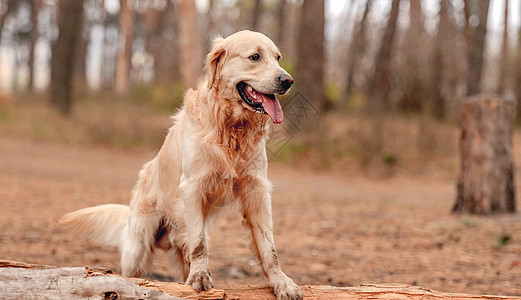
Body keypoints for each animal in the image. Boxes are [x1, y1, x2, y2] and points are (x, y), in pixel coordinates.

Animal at [61, 30, 302, 300]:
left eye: (278, 58)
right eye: (255, 57)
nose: (288, 80)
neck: (230, 127)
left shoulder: (257, 190)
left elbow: (269, 248)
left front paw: (282, 282)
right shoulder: (193, 187)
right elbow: (199, 245)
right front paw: (199, 277)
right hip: (138, 248)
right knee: (132, 274)